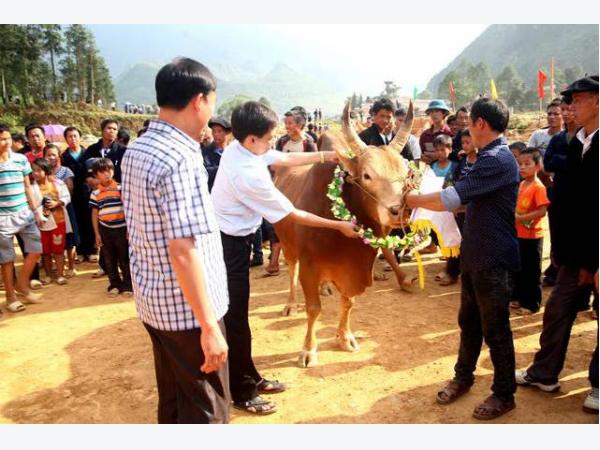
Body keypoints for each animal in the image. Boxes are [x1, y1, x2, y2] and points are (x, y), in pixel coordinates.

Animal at [274, 100, 414, 368]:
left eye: (405, 173)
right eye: (367, 175)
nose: (398, 210)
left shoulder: (352, 268)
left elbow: (348, 302)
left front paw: (344, 337)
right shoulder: (310, 265)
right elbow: (313, 309)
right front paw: (308, 350)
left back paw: (325, 288)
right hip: (287, 244)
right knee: (291, 271)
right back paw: (290, 303)